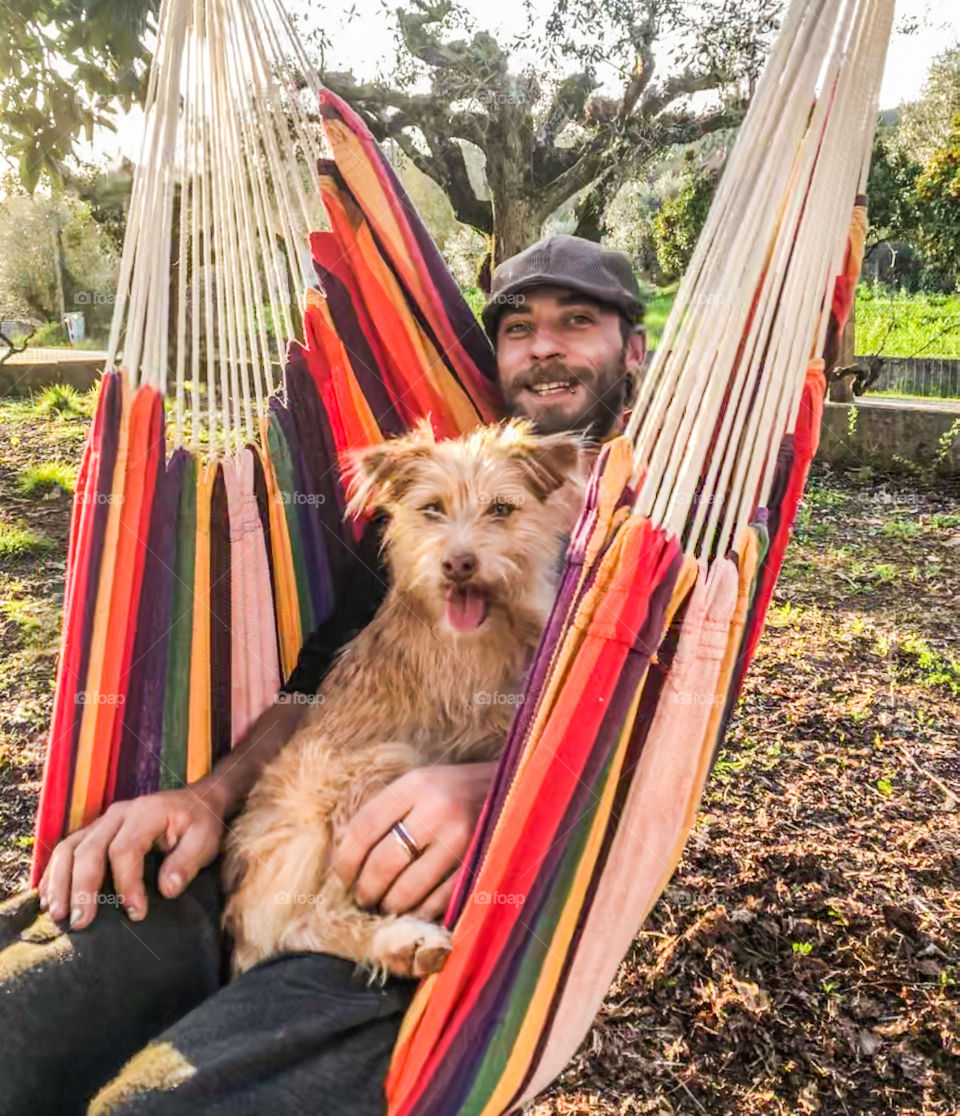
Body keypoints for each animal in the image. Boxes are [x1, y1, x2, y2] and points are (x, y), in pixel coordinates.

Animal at [225, 417, 584, 977]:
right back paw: (400, 942)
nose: (458, 563)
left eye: (501, 509)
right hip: (374, 773)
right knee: (306, 921)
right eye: (432, 508)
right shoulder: (477, 719)